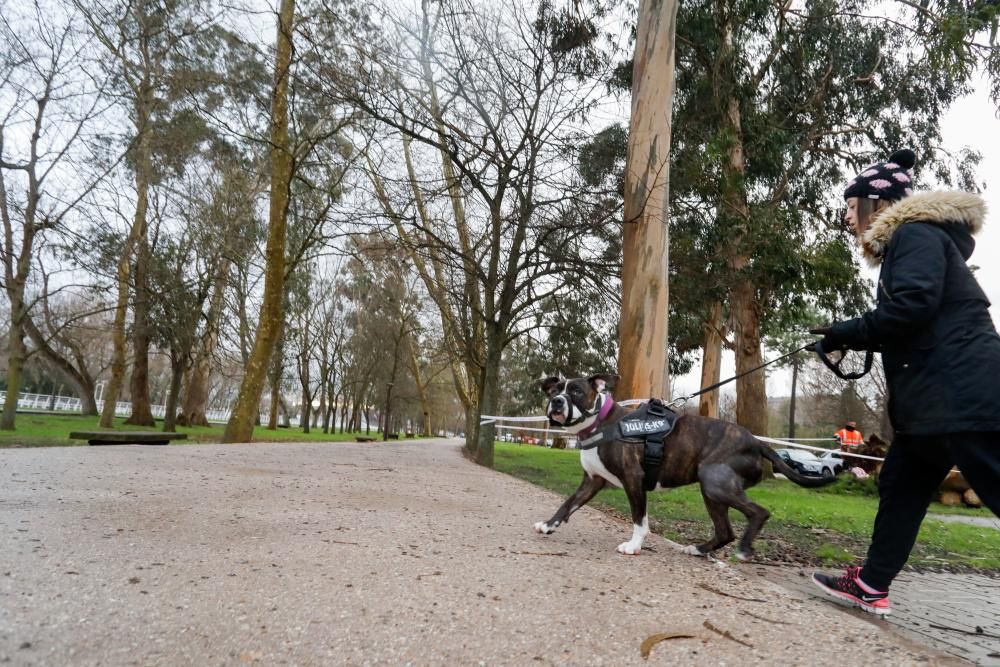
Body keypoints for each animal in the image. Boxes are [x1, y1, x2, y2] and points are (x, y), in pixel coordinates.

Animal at [536, 376, 832, 560]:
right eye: (554, 391)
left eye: (576, 392)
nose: (557, 402)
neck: (601, 423)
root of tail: (757, 442)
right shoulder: (592, 481)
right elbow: (568, 504)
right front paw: (549, 525)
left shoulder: (634, 480)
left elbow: (639, 520)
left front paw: (633, 546)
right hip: (712, 492)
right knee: (725, 531)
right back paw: (700, 550)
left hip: (716, 483)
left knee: (759, 512)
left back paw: (745, 548)